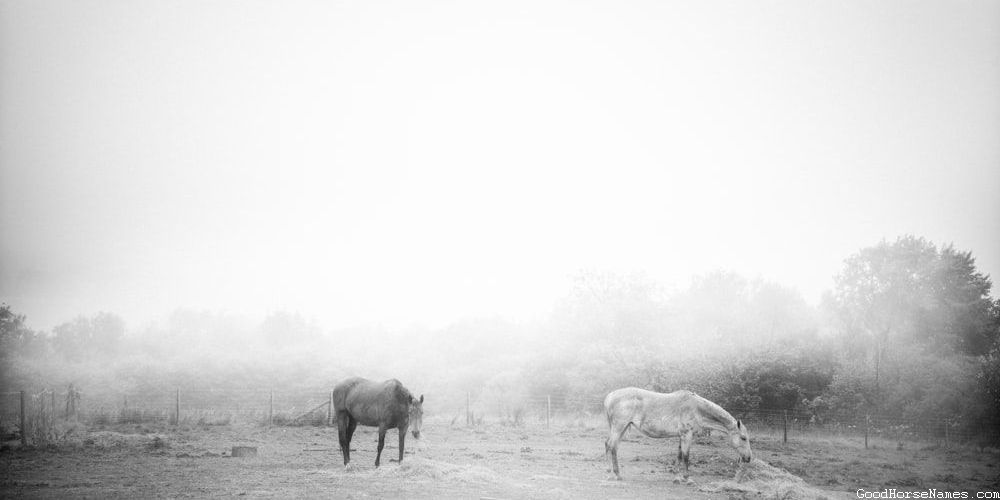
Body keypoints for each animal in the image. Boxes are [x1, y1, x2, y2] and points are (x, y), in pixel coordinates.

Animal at [604, 387, 752, 480]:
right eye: (743, 438)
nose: (748, 458)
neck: (696, 409)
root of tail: (610, 396)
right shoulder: (687, 435)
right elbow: (686, 456)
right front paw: (687, 478)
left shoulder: (682, 436)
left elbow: (680, 455)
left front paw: (677, 477)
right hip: (619, 427)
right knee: (612, 446)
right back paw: (616, 475)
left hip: (622, 428)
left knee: (609, 445)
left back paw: (610, 472)